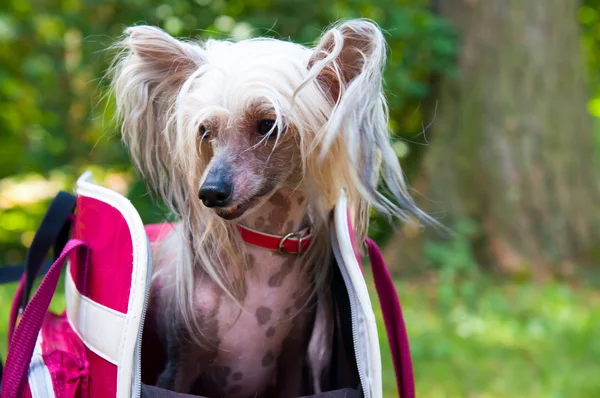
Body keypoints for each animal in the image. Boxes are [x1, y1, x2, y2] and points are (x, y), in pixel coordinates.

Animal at [110, 19, 432, 398]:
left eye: (268, 125)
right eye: (205, 131)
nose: (210, 192)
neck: (263, 252)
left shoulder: (293, 362)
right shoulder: (180, 365)